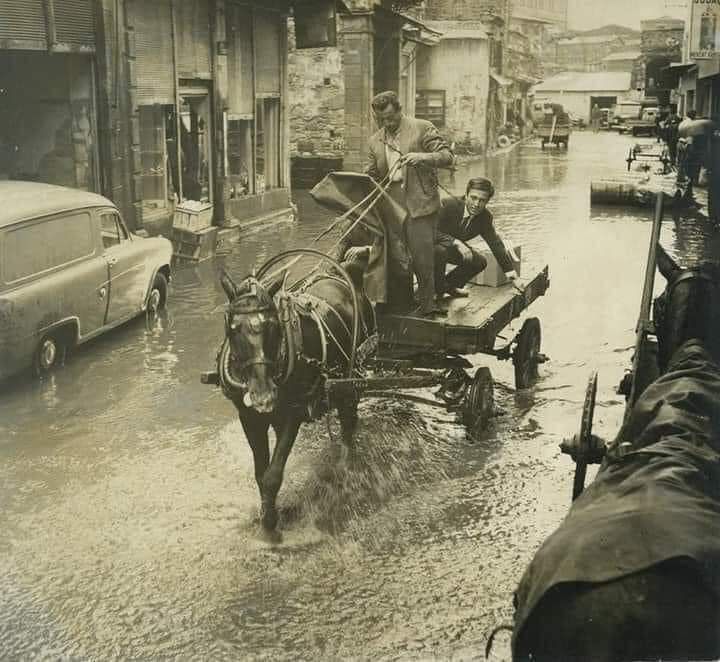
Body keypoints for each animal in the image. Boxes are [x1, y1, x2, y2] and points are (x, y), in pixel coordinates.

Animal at [215, 264, 374, 540]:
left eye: (273, 325)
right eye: (233, 328)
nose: (263, 395)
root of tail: (341, 275)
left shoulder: (293, 414)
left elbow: (273, 475)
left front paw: (270, 525)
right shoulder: (249, 418)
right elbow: (261, 474)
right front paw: (265, 514)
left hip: (350, 378)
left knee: (348, 424)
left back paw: (345, 469)